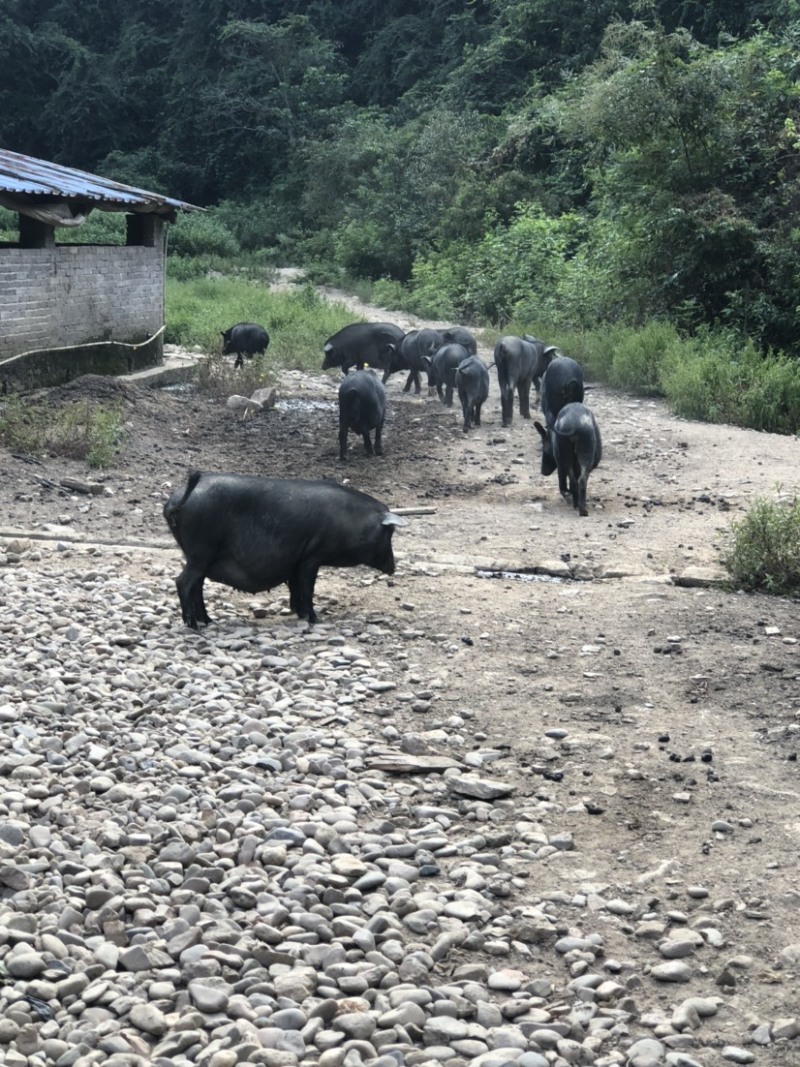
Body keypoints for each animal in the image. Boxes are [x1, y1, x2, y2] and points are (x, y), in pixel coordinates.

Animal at [165, 473, 409, 623]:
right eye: (389, 532)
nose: (393, 568)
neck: (350, 520)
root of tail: (177, 500)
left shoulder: (297, 559)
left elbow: (295, 587)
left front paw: (299, 614)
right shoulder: (312, 556)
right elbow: (307, 588)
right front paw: (314, 619)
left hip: (196, 554)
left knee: (196, 585)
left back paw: (207, 621)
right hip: (201, 550)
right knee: (183, 581)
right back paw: (192, 624)